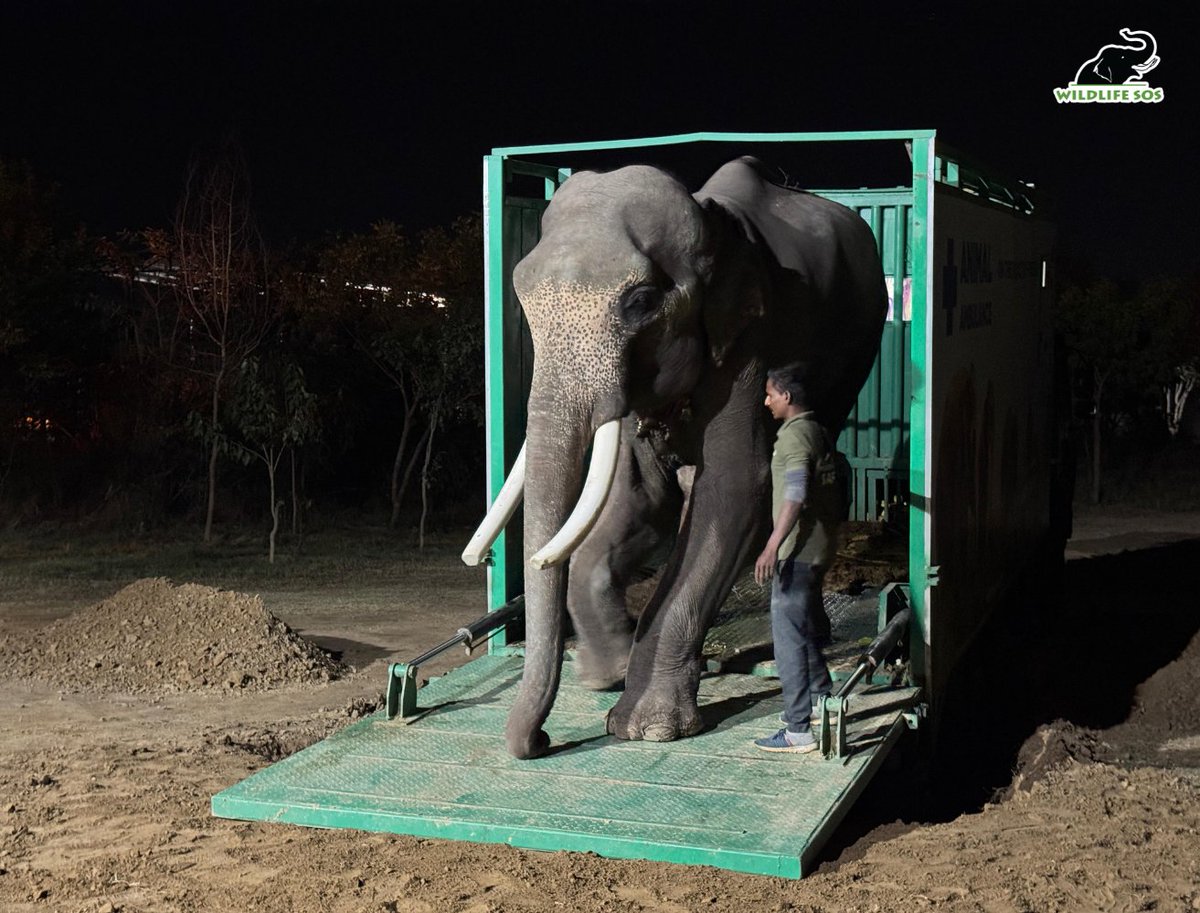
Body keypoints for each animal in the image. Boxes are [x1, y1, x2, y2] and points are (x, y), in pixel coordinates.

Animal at [465, 155, 887, 759]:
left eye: (640, 302)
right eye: (520, 296)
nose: (541, 740)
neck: (713, 228)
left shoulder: (749, 341)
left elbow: (734, 489)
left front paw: (647, 727)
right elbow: (638, 500)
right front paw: (606, 674)